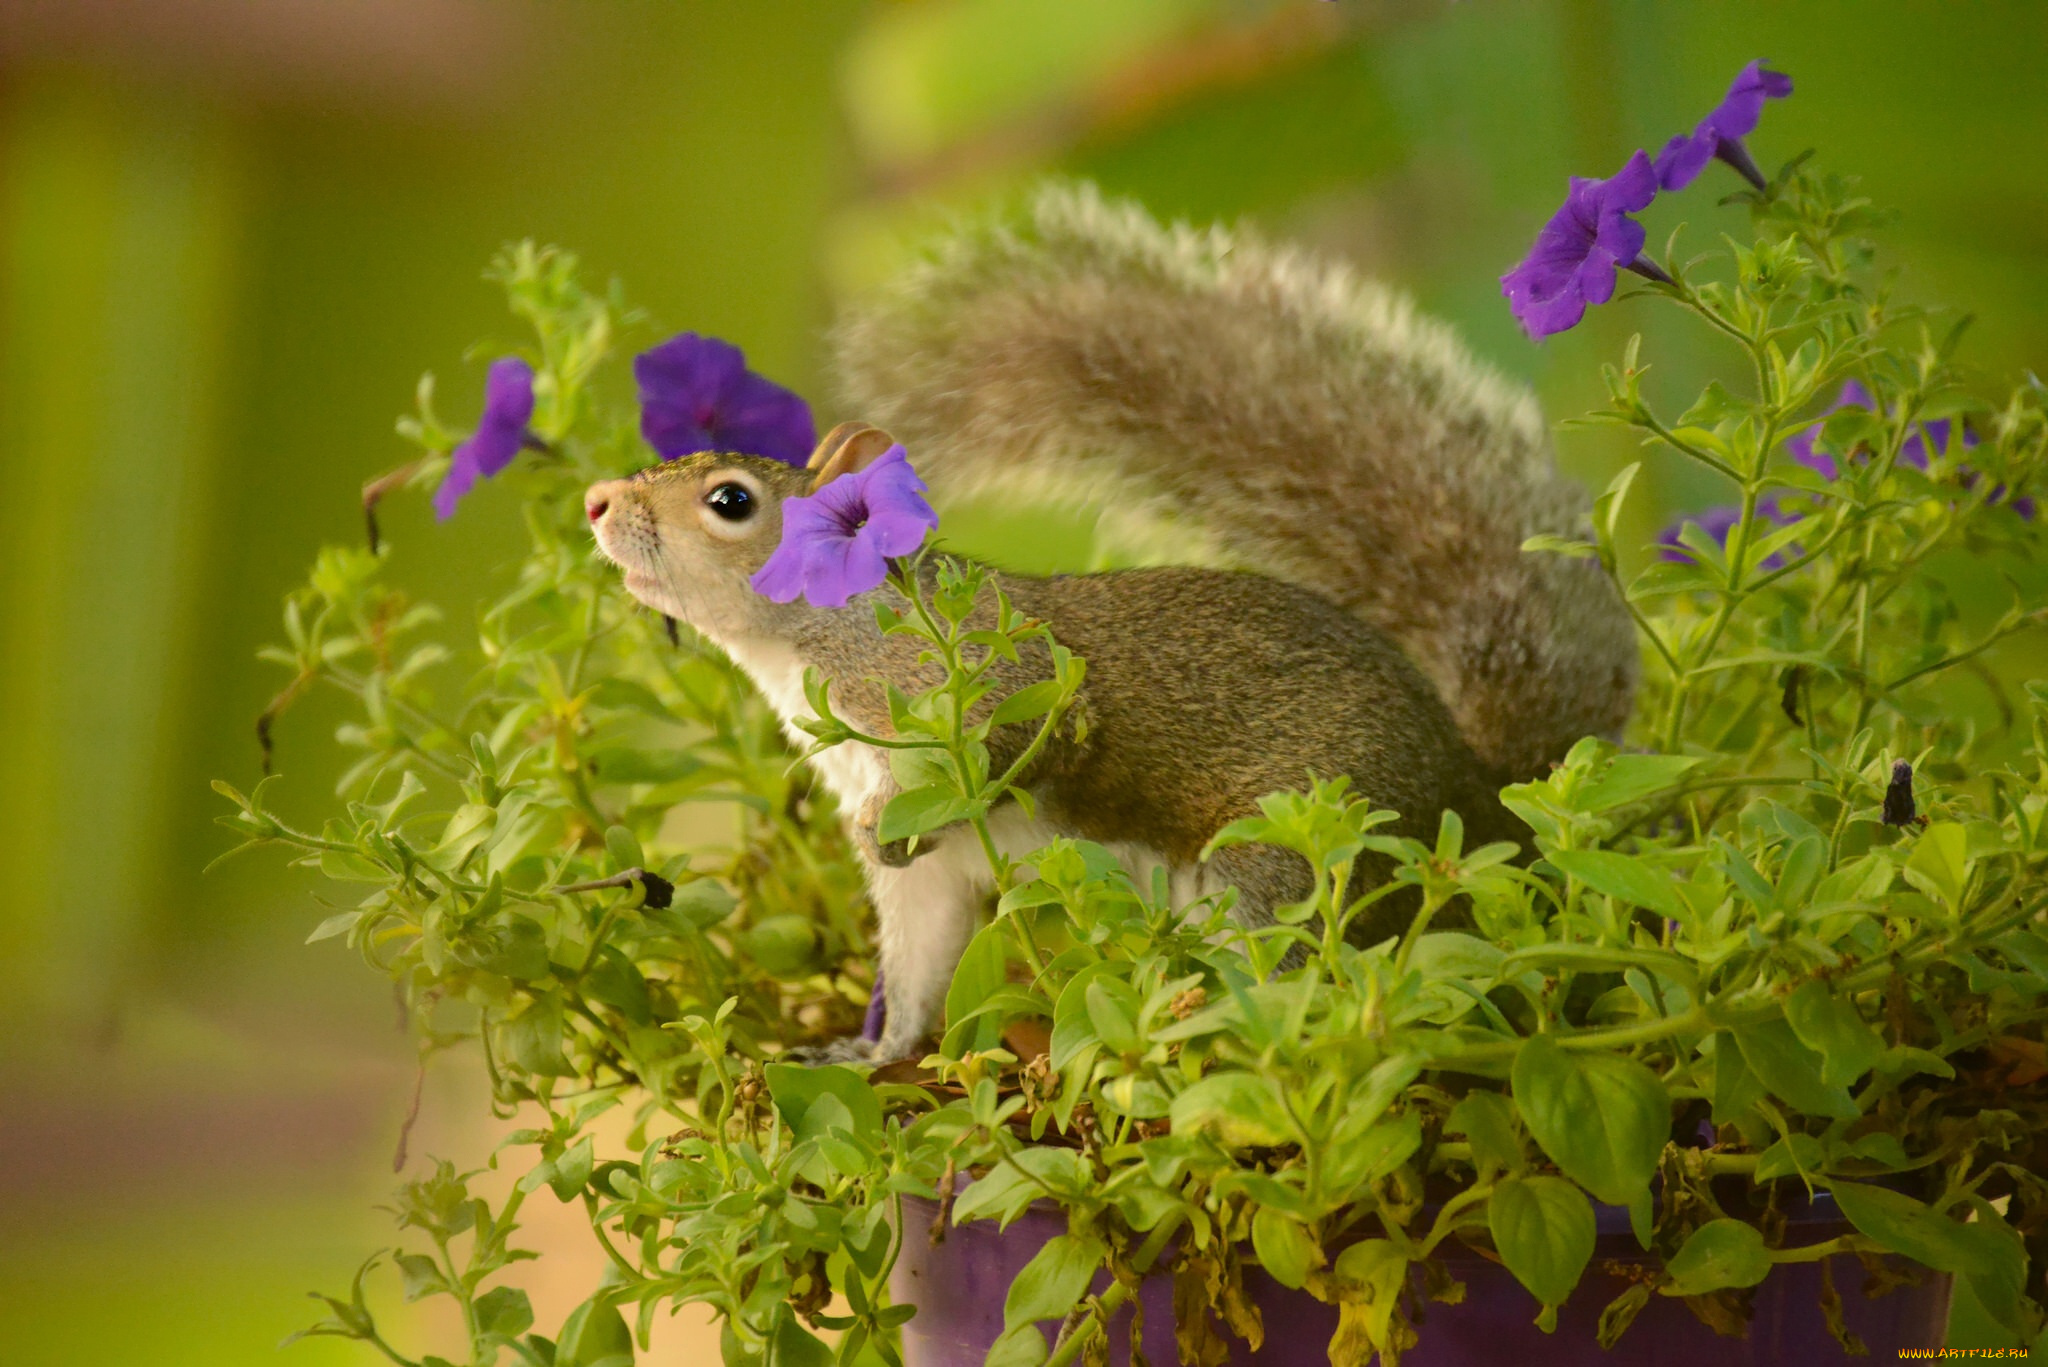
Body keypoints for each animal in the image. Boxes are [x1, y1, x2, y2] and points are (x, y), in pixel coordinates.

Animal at [589, 181, 1630, 1065]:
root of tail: (1486, 800)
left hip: (1295, 850)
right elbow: (921, 953)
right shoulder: (927, 867)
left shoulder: (1002, 686)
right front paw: (871, 1051)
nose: (597, 501)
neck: (822, 644)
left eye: (731, 500)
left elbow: (1017, 741)